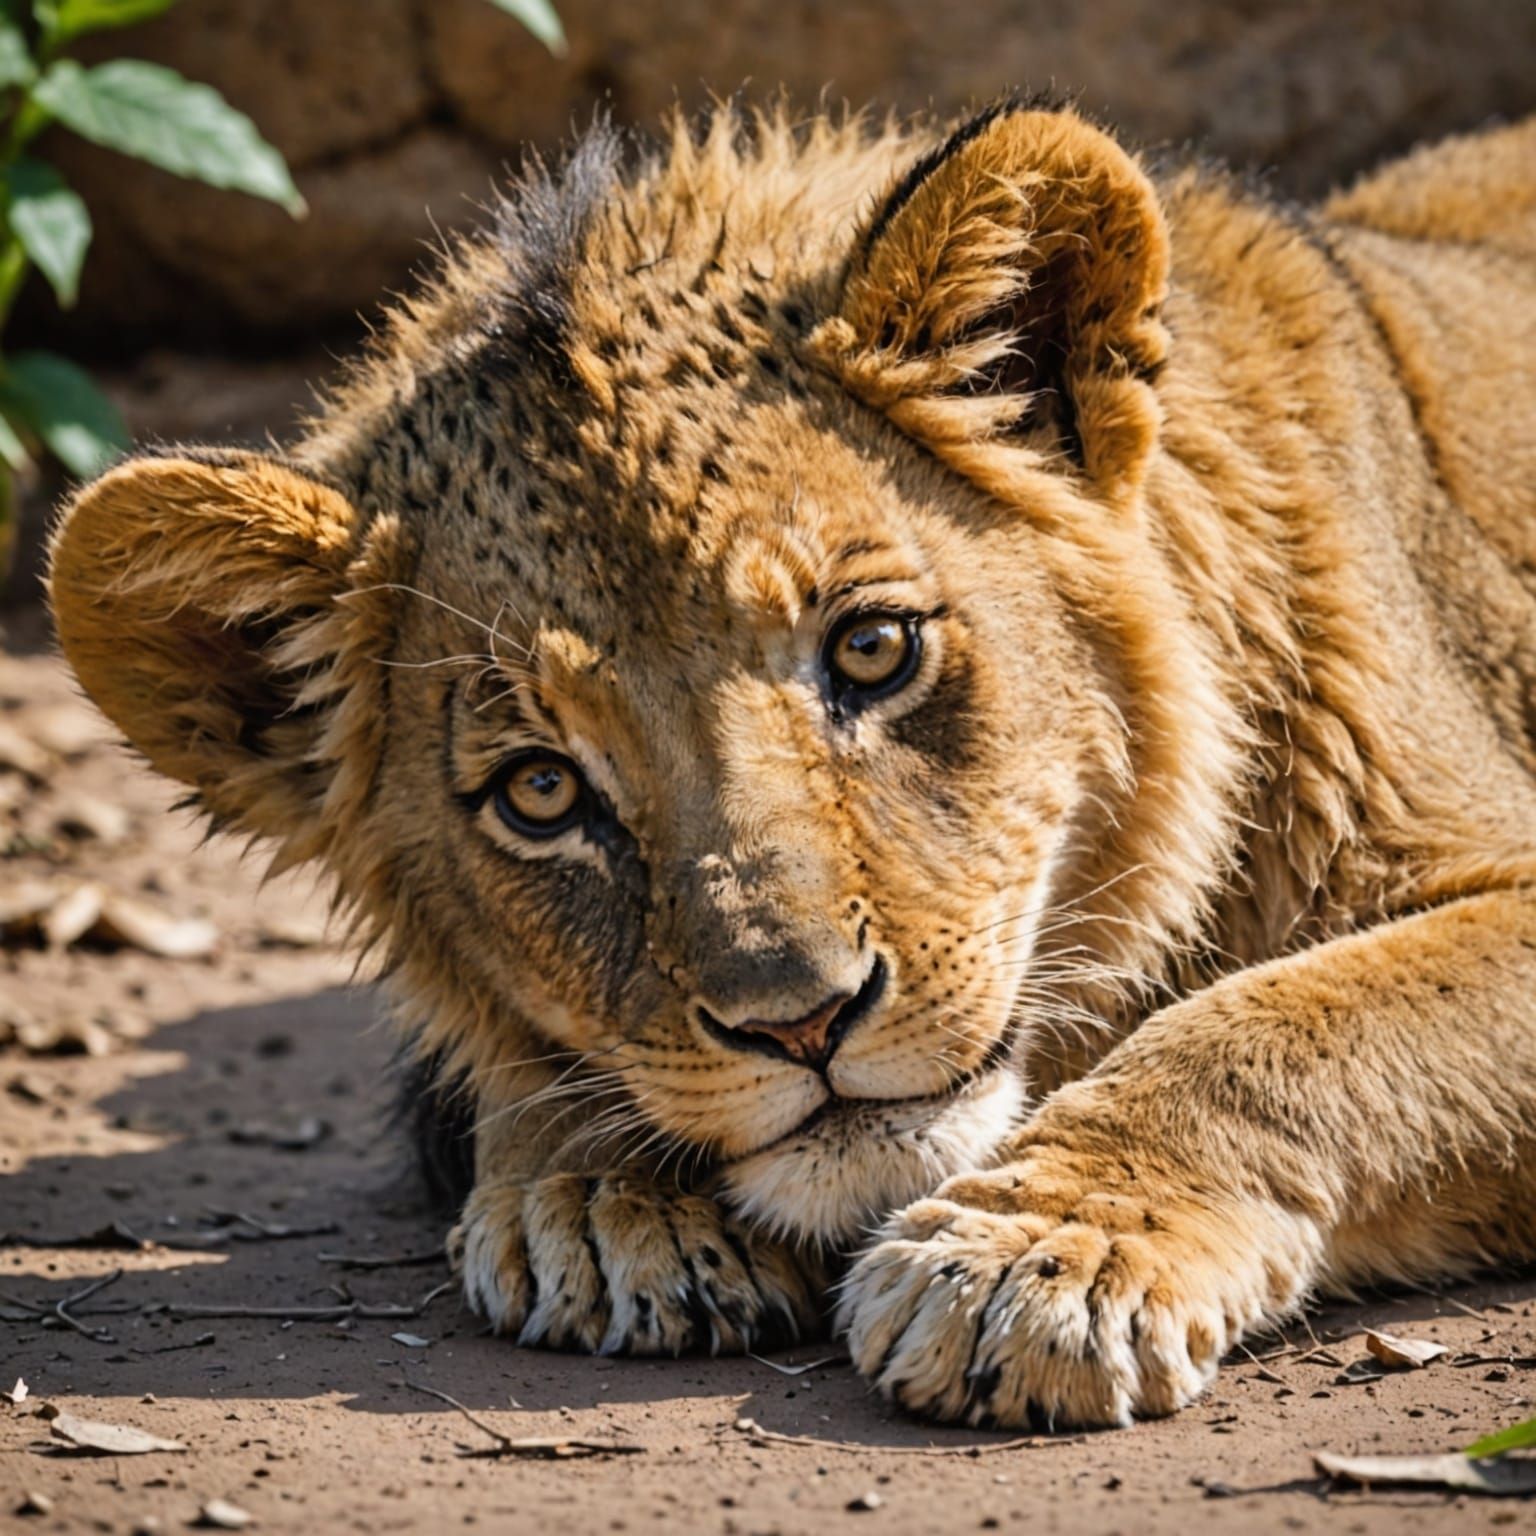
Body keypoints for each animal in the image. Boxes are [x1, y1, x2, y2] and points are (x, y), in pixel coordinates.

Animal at [47, 98, 1536, 1429]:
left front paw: (1034, 1260)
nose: (801, 1025)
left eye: (871, 650)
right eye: (541, 790)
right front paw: (599, 1200)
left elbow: (1277, 1030)